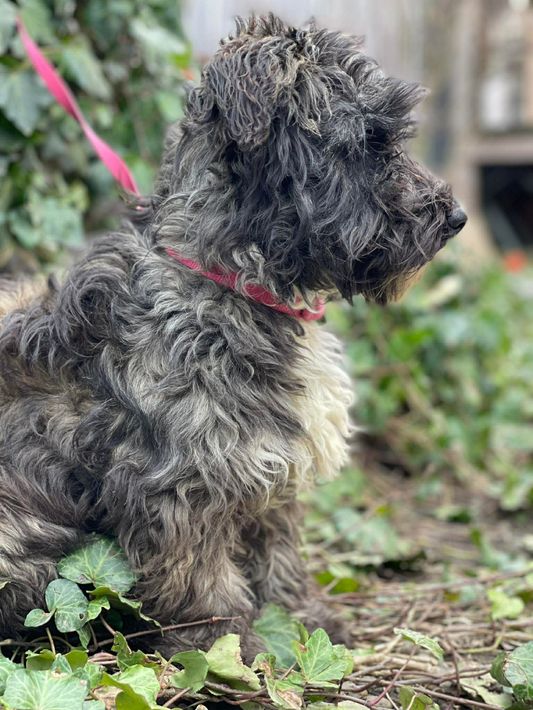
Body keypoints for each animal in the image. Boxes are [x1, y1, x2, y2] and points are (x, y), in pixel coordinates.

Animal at [0, 14, 466, 655]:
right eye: (370, 143)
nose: (455, 218)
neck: (230, 284)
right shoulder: (180, 488)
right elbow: (202, 581)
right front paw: (226, 651)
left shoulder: (267, 466)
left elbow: (279, 554)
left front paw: (301, 623)